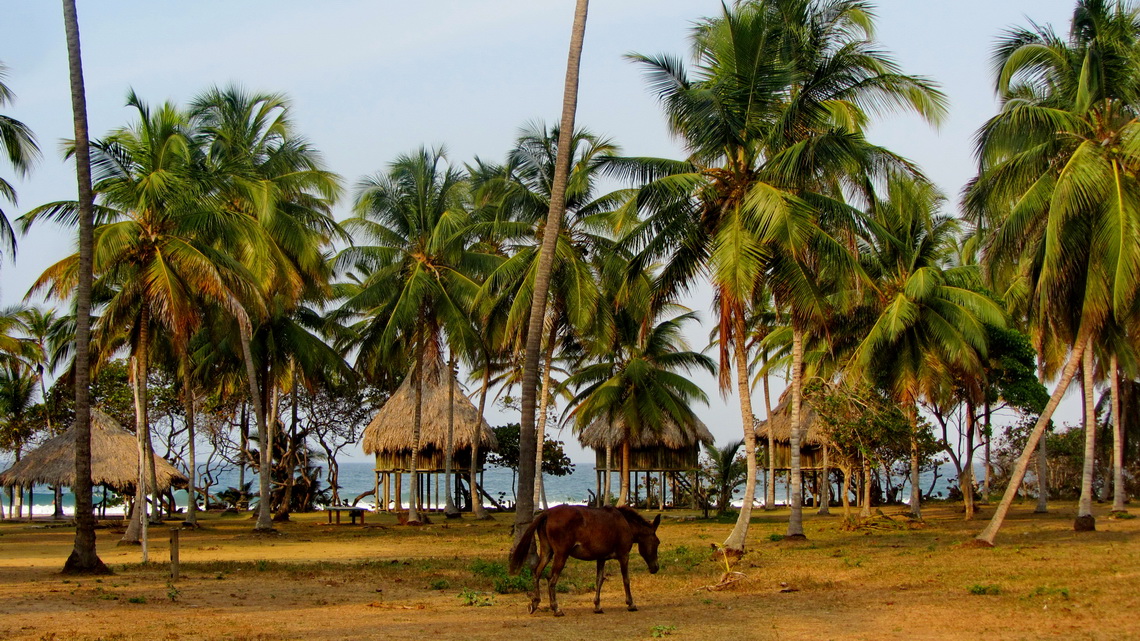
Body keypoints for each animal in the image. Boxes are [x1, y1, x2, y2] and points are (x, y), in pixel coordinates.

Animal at [508, 504, 661, 615]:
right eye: (657, 542)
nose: (655, 568)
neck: (626, 523)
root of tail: (548, 513)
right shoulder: (624, 555)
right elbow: (626, 580)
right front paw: (631, 603)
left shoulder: (601, 558)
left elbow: (599, 580)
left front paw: (597, 606)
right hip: (561, 554)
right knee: (551, 579)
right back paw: (556, 608)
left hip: (547, 551)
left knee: (537, 573)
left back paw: (535, 602)